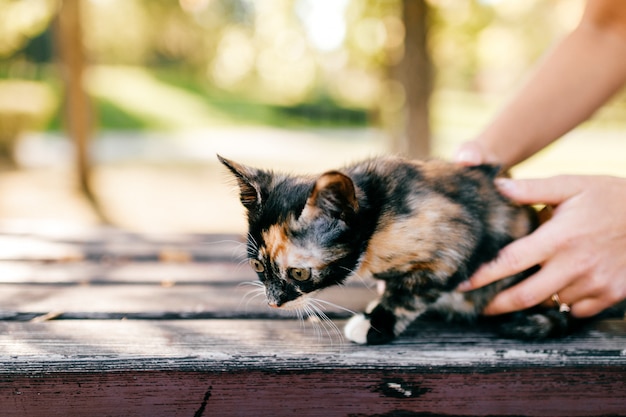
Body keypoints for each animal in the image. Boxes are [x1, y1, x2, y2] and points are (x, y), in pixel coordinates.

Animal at [218, 154, 580, 342]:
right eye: (257, 266)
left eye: (298, 273)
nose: (273, 302)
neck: (379, 215)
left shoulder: (455, 242)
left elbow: (409, 294)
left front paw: (374, 323)